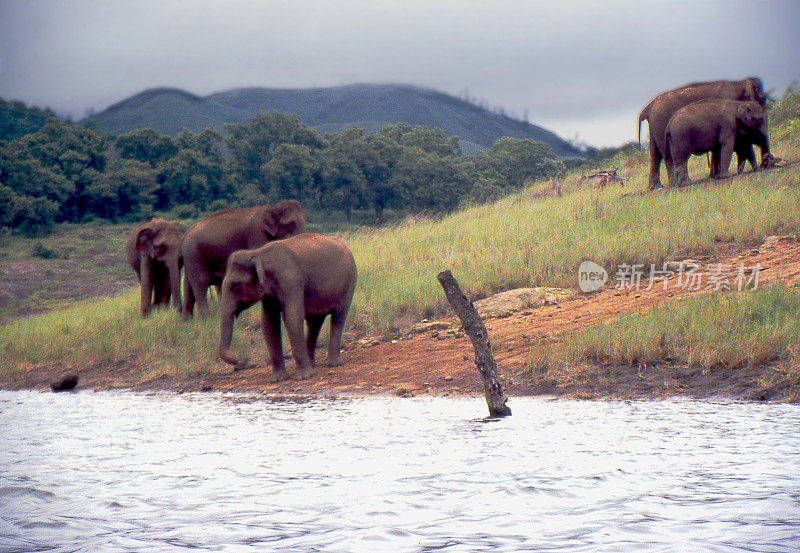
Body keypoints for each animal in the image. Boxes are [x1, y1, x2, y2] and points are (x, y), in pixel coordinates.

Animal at [219, 231, 356, 382]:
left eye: (235, 287)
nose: (239, 361)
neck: (258, 253)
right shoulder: (268, 293)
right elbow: (269, 323)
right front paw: (278, 379)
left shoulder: (291, 281)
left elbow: (292, 317)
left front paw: (303, 377)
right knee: (315, 322)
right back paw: (313, 364)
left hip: (350, 282)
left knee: (339, 317)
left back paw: (334, 364)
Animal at [636, 76, 768, 190]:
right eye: (763, 99)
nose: (766, 164)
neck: (740, 83)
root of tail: (649, 106)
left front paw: (714, 176)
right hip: (661, 124)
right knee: (667, 154)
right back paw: (674, 184)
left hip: (654, 128)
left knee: (655, 154)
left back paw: (656, 187)